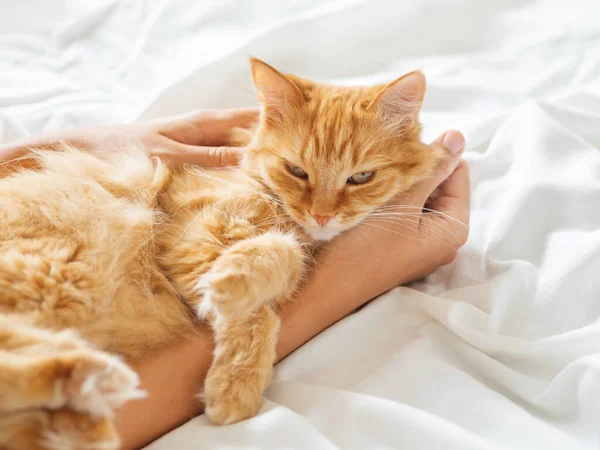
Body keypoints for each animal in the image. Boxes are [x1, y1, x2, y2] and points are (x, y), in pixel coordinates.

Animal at [0, 59, 440, 450]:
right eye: (297, 171)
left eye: (361, 177)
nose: (322, 215)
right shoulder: (192, 229)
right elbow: (263, 291)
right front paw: (235, 381)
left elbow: (280, 264)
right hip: (50, 276)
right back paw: (83, 387)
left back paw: (78, 402)